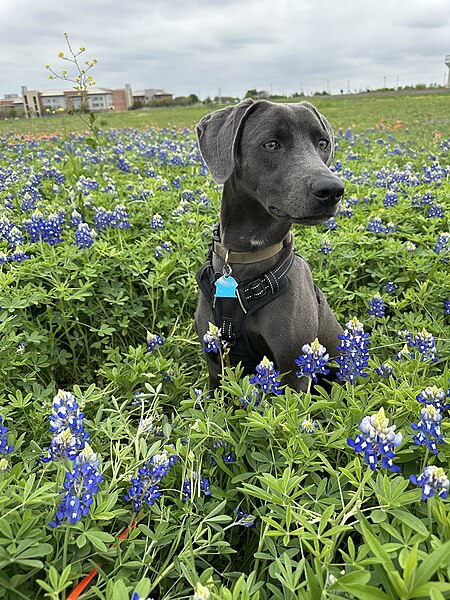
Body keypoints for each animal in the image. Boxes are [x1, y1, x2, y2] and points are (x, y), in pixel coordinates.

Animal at [194, 99, 344, 390]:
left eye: (322, 143)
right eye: (272, 144)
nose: (333, 189)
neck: (247, 255)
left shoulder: (294, 368)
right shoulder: (215, 364)